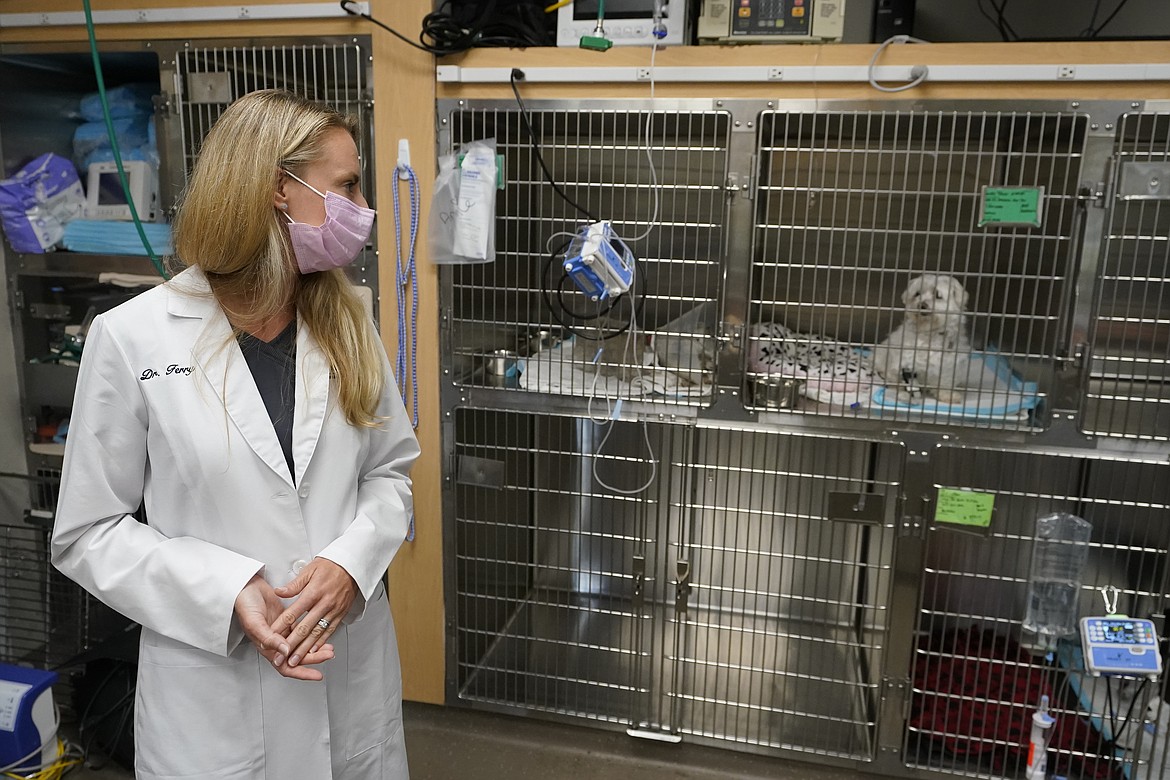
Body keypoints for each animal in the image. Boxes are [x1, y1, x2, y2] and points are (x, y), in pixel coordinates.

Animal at [875, 274, 1001, 406]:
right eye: (917, 294)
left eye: (937, 295)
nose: (922, 305)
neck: (931, 334)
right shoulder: (904, 363)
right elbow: (901, 381)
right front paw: (904, 394)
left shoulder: (948, 367)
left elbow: (944, 384)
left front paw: (948, 396)